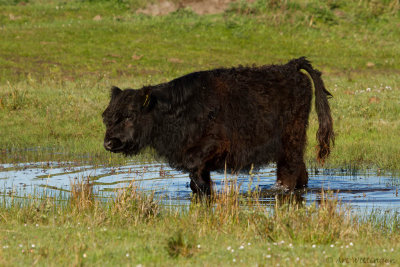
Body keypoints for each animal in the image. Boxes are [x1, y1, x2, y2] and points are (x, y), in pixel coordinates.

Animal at [101, 57, 332, 196]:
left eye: (129, 115)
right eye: (107, 118)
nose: (109, 143)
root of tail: (290, 66)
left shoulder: (213, 145)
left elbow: (196, 171)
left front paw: (207, 192)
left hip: (290, 139)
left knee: (289, 171)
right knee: (300, 171)